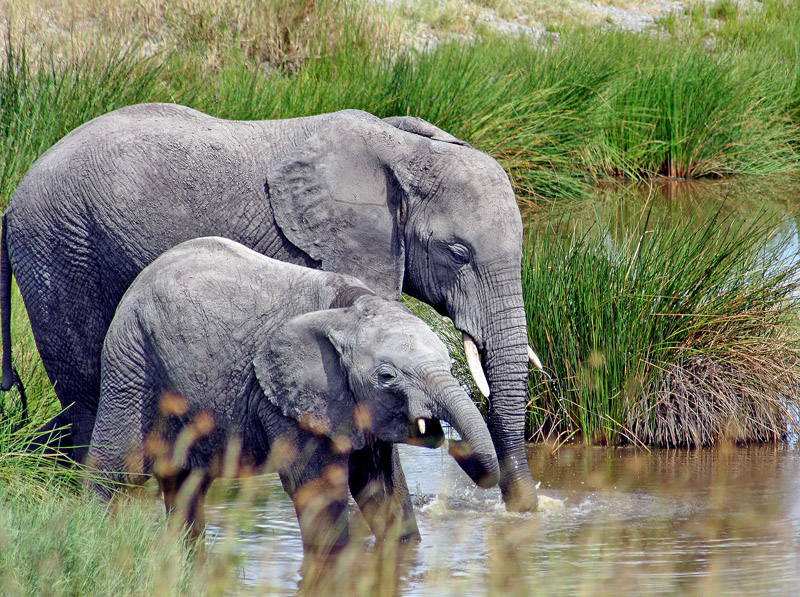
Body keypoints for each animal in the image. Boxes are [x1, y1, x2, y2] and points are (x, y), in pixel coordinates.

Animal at [3, 101, 540, 512]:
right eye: (458, 253)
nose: (523, 509)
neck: (405, 150)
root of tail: (12, 202)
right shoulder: (312, 250)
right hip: (61, 249)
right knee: (86, 388)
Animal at [89, 236, 500, 548]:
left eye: (450, 366)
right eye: (387, 376)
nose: (458, 449)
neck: (350, 309)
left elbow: (382, 487)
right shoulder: (286, 399)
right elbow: (317, 490)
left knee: (186, 482)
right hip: (131, 360)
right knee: (117, 468)